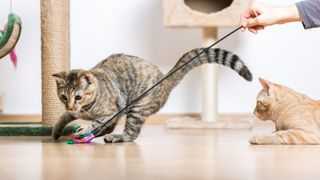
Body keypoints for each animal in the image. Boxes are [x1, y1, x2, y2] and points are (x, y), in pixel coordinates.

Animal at [52, 47, 252, 143]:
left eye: (78, 97)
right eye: (64, 97)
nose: (71, 105)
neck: (86, 109)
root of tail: (164, 79)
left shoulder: (109, 112)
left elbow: (95, 122)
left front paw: (84, 130)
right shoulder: (74, 112)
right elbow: (63, 117)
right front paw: (56, 131)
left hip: (137, 108)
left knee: (131, 134)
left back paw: (116, 137)